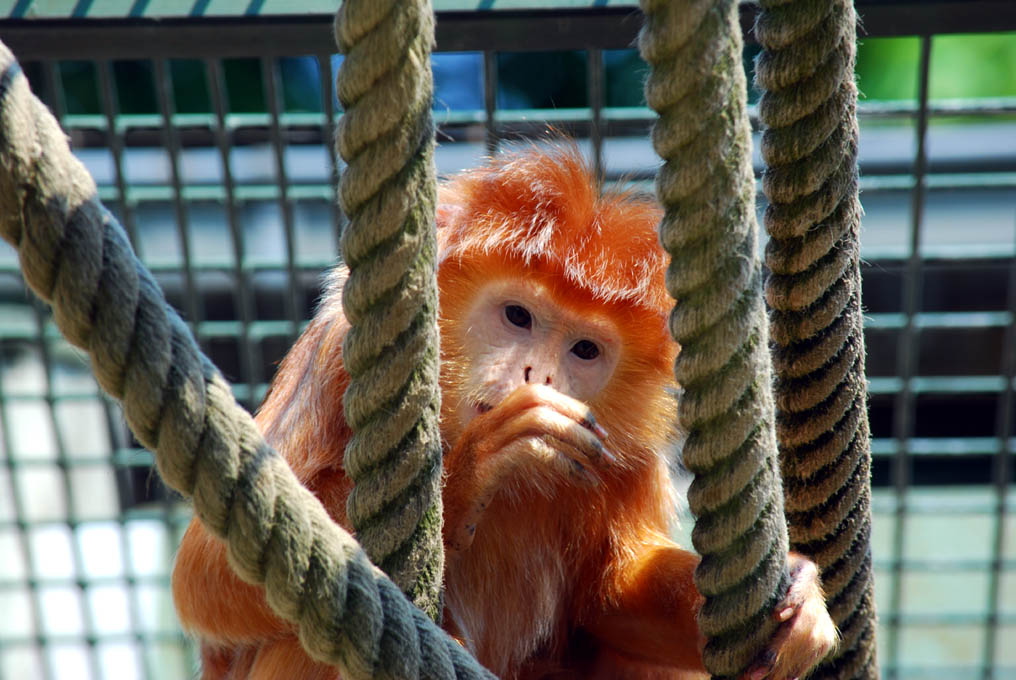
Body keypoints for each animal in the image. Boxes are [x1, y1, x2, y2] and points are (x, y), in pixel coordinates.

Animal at [174, 146, 837, 674]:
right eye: (518, 316)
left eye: (585, 350)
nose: (536, 374)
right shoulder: (336, 354)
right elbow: (207, 570)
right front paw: (470, 472)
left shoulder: (628, 454)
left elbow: (610, 599)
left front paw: (802, 599)